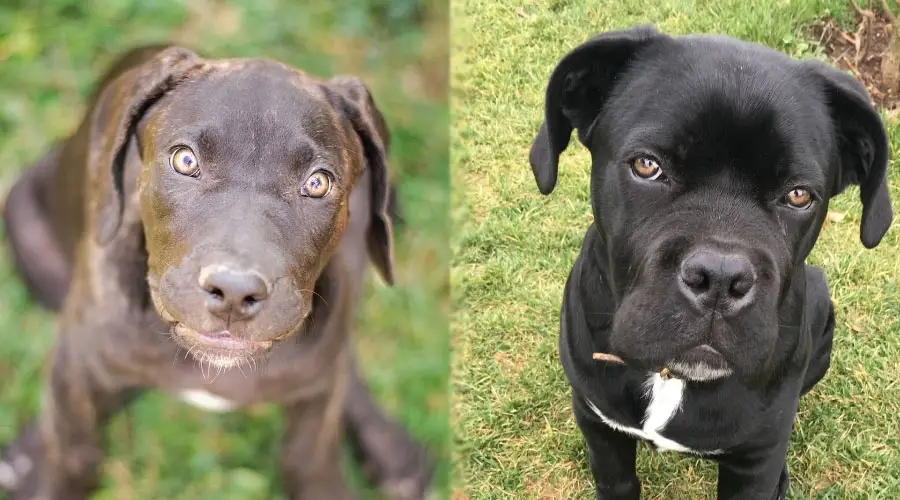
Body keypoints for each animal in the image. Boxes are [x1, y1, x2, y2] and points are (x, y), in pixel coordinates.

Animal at [0, 46, 432, 500]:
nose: (234, 292)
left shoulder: (317, 403)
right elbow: (74, 453)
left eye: (317, 183)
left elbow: (309, 459)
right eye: (185, 160)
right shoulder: (78, 360)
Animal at [532, 27, 888, 500]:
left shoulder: (756, 458)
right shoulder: (597, 422)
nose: (720, 278)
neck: (672, 378)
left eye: (798, 195)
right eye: (646, 165)